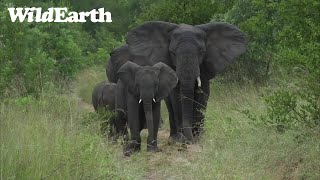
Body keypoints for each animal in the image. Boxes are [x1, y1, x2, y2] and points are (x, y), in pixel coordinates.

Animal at [109, 20, 246, 143]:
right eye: (172, 53)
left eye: (202, 52)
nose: (191, 139)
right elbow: (176, 97)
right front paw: (182, 139)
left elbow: (202, 96)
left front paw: (199, 138)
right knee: (170, 105)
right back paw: (174, 137)